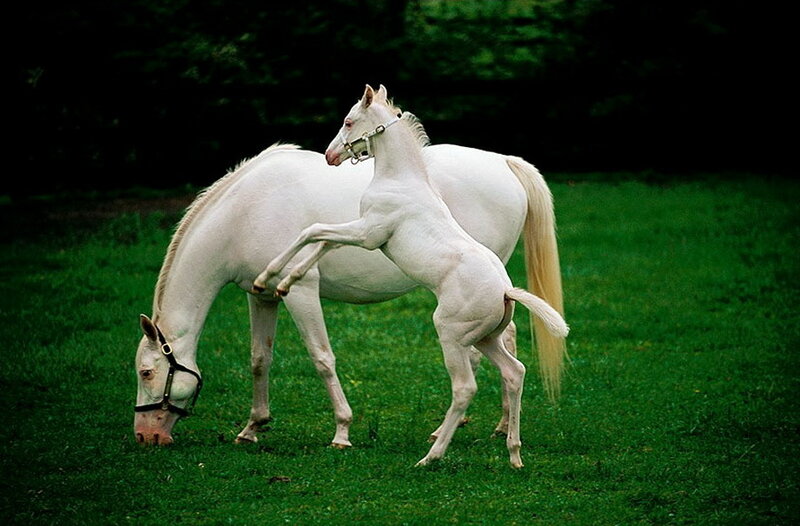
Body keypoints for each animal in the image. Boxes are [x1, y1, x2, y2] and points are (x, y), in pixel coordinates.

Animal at [133, 106, 565, 452]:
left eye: (146, 372)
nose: (145, 436)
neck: (244, 211)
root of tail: (505, 161)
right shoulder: (261, 297)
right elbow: (259, 359)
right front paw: (252, 428)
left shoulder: (301, 293)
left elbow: (322, 358)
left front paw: (341, 431)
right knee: (506, 347)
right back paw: (501, 427)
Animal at [251, 84, 568, 468]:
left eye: (348, 121)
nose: (330, 156)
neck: (401, 181)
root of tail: (506, 292)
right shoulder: (363, 231)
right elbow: (324, 240)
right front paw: (286, 281)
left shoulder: (369, 233)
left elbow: (313, 231)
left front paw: (267, 277)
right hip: (485, 338)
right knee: (514, 372)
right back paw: (513, 454)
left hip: (452, 334)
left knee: (465, 387)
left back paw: (432, 455)